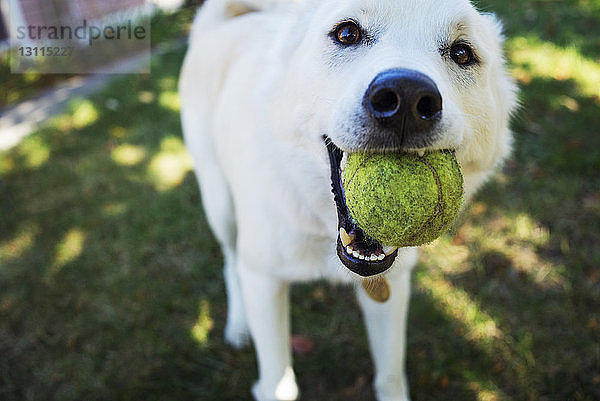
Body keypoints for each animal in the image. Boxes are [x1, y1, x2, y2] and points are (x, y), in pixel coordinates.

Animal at [177, 1, 516, 398]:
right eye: (347, 33)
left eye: (462, 53)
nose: (406, 99)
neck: (324, 229)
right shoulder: (264, 282)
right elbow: (279, 383)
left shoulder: (393, 289)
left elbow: (390, 375)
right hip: (220, 204)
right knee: (230, 261)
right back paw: (239, 325)